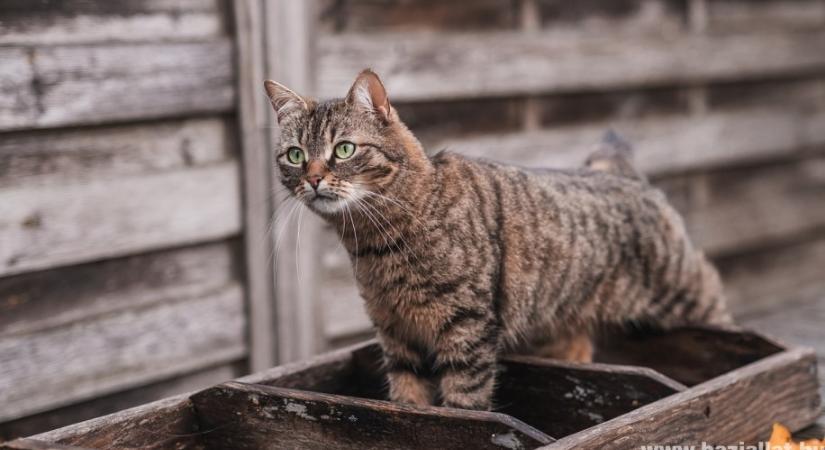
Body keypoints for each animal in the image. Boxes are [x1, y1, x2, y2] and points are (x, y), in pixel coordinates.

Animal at [262, 69, 728, 412]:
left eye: (343, 149)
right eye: (295, 155)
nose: (313, 179)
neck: (379, 242)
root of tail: (621, 174)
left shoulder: (465, 326)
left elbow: (464, 401)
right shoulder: (395, 333)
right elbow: (409, 397)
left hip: (687, 297)